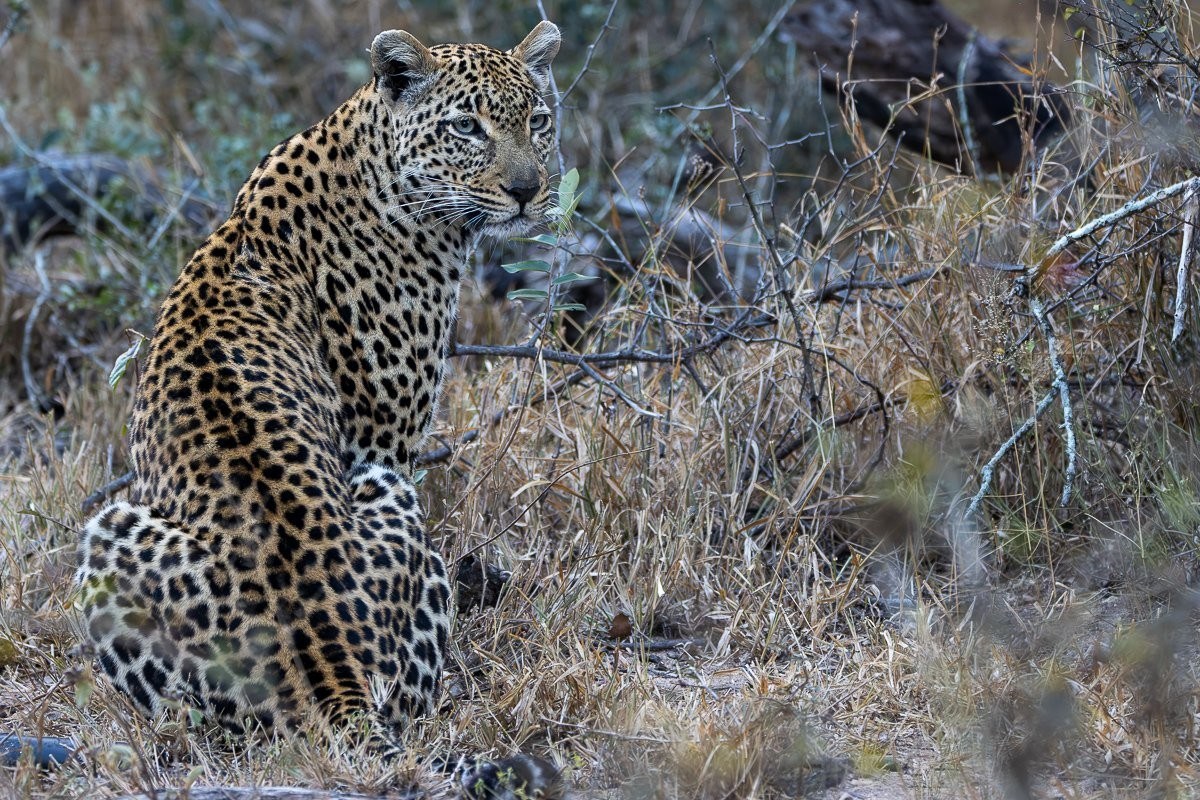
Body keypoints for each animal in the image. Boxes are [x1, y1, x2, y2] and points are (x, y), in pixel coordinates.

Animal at [75, 21, 563, 798]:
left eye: (537, 121)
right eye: (468, 127)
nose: (527, 191)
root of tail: (332, 676)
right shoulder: (385, 439)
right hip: (365, 491)